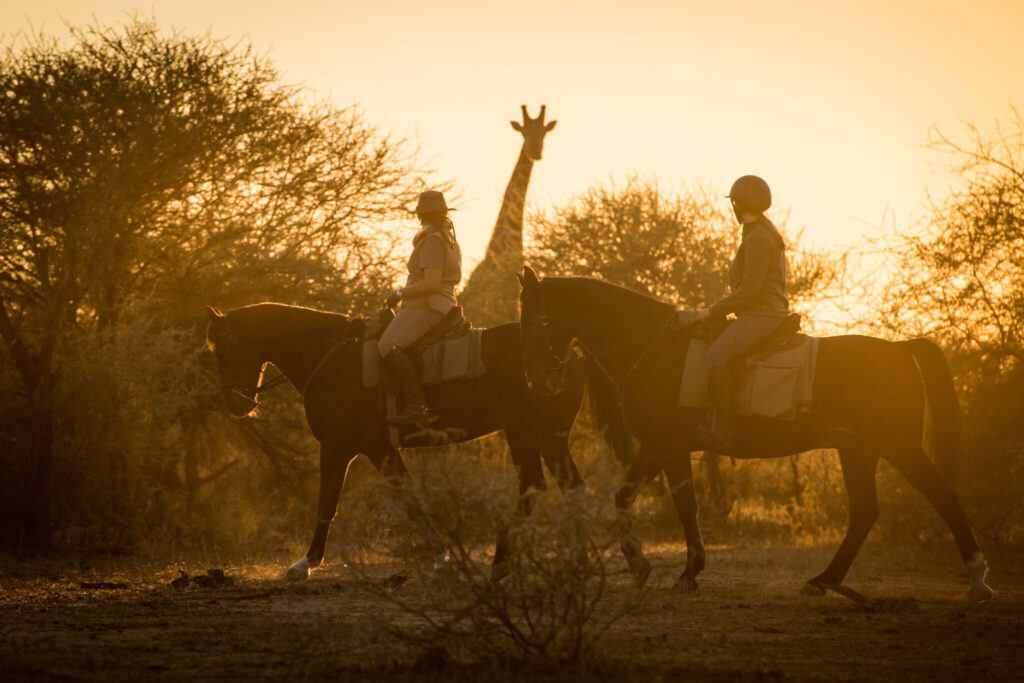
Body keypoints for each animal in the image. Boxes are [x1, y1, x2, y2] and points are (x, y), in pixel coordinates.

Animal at [205, 302, 627, 580]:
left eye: (222, 350)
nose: (235, 403)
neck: (331, 356)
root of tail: (569, 352)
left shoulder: (341, 448)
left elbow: (328, 503)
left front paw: (305, 563)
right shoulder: (380, 450)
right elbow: (410, 499)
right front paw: (440, 553)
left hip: (541, 434)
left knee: (559, 488)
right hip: (526, 434)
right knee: (542, 489)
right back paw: (513, 564)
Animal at [517, 267, 993, 603]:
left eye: (536, 318)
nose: (535, 380)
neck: (652, 346)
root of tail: (899, 348)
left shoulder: (671, 447)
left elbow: (685, 508)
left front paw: (687, 573)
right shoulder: (655, 448)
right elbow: (624, 498)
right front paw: (640, 566)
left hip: (899, 446)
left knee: (943, 497)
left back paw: (977, 579)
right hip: (857, 450)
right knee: (864, 513)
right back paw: (823, 580)